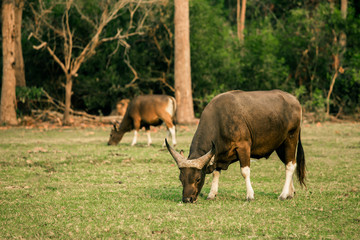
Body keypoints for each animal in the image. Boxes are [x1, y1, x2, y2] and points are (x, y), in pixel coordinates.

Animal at [165, 89, 304, 202]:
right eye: (181, 178)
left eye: (198, 179)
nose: (187, 199)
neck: (220, 120)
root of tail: (295, 101)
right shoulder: (218, 153)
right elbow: (216, 172)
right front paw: (212, 194)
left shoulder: (244, 146)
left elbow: (245, 171)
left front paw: (250, 195)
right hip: (280, 146)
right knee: (289, 163)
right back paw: (290, 193)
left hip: (291, 138)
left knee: (290, 165)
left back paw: (283, 194)